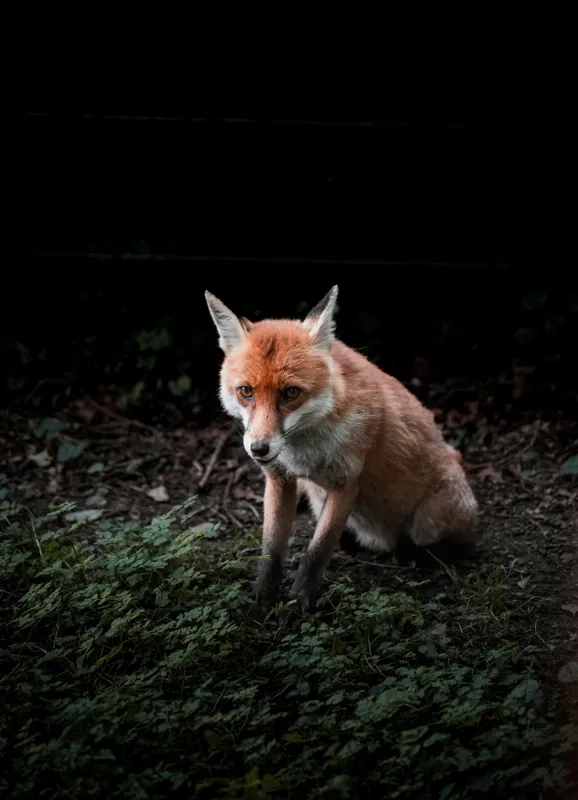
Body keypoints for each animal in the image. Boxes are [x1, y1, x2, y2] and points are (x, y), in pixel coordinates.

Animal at [205, 286, 478, 615]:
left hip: (433, 519)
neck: (304, 453)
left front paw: (299, 602)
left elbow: (318, 550)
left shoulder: (346, 482)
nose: (259, 449)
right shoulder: (280, 479)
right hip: (317, 497)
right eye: (246, 391)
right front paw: (263, 602)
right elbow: (271, 549)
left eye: (291, 393)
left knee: (448, 543)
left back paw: (415, 553)